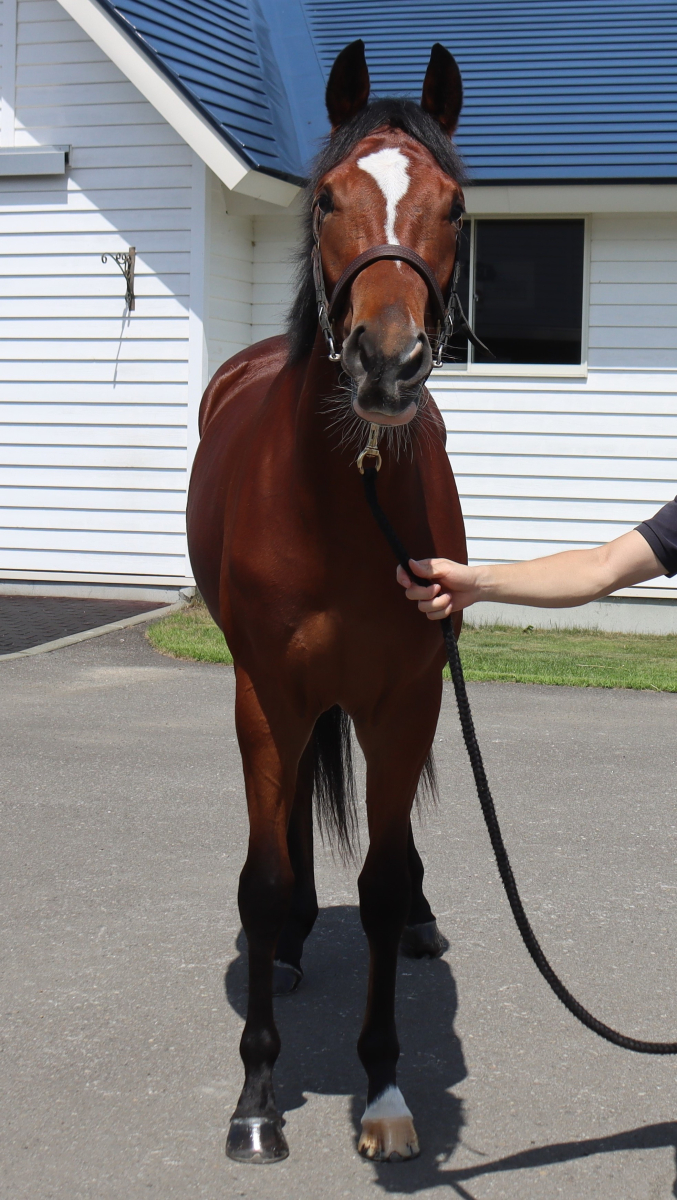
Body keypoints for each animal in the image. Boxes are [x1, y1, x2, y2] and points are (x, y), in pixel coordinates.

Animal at [187, 39, 468, 1165]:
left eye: (455, 205)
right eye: (325, 200)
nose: (387, 364)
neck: (347, 493)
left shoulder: (406, 696)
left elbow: (382, 889)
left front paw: (383, 1088)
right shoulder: (263, 692)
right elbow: (262, 880)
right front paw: (257, 1097)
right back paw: (298, 938)